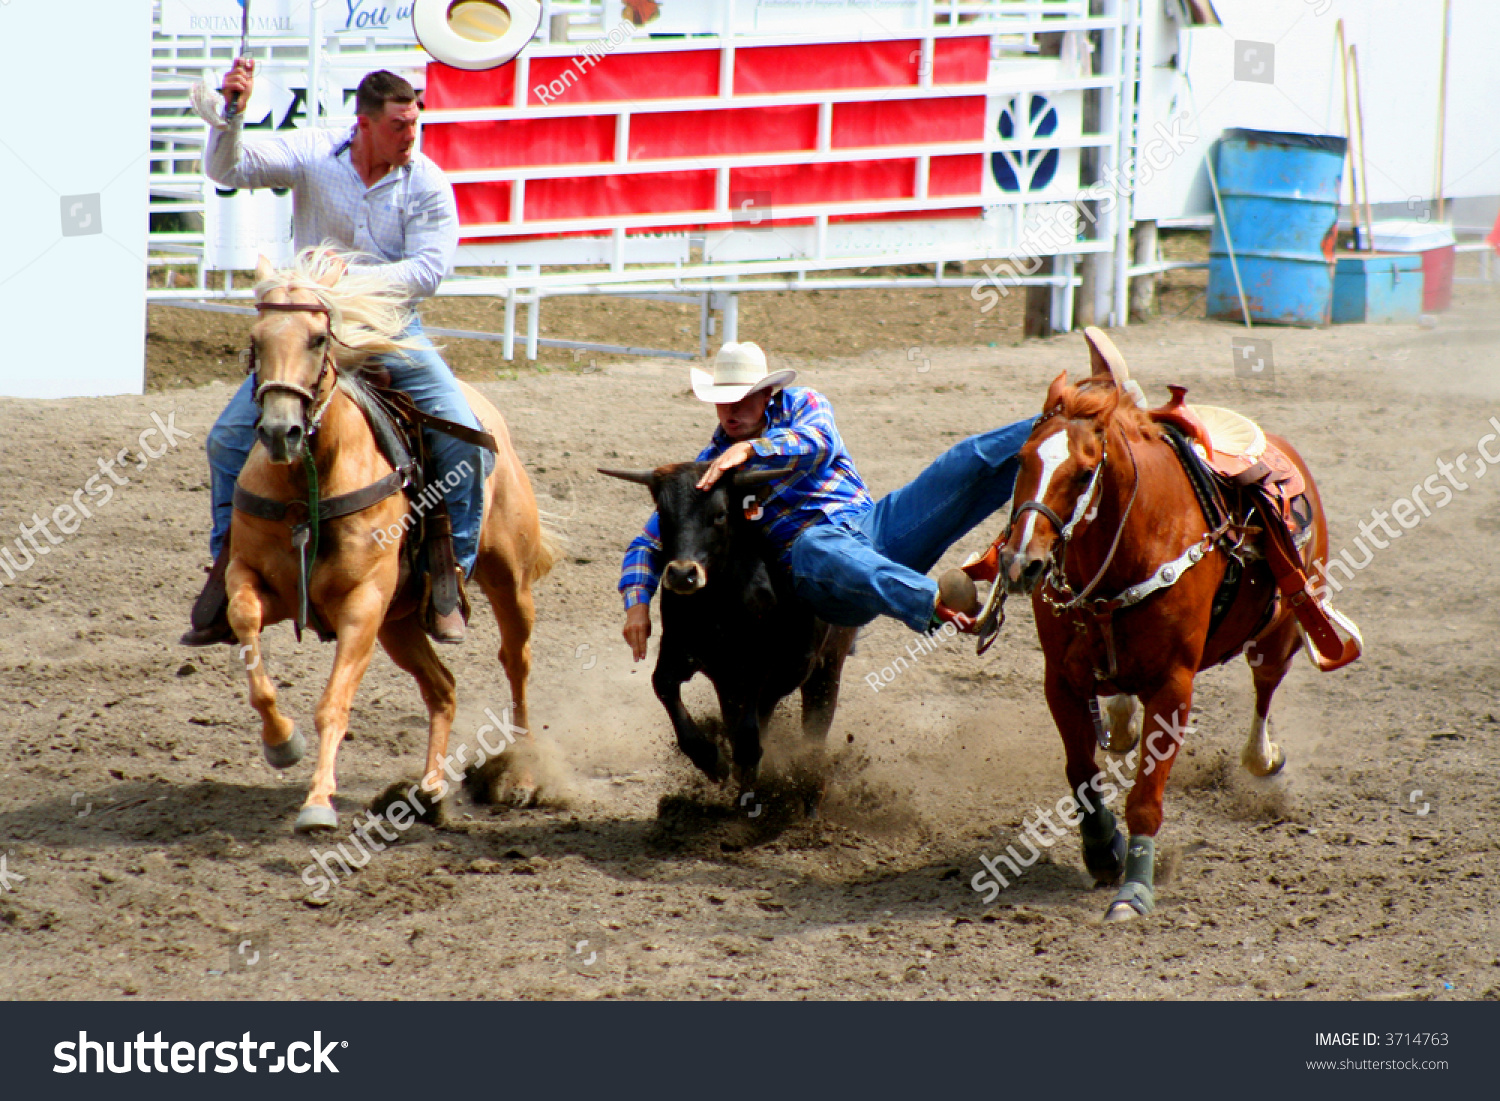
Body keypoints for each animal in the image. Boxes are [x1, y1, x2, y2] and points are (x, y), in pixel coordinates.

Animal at [219, 247, 555, 834]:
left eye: (318, 339)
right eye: (256, 339)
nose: (281, 431)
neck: (311, 482)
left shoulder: (363, 604)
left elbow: (333, 703)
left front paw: (318, 803)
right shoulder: (253, 578)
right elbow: (249, 641)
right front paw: (282, 744)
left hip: (508, 582)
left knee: (516, 660)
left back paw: (519, 769)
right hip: (401, 624)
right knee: (442, 689)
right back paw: (429, 792)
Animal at [990, 331, 1356, 930]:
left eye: (1085, 471)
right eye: (1020, 460)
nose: (1022, 563)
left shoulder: (1173, 686)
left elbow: (1145, 798)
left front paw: (1133, 889)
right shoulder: (1059, 680)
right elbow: (1080, 771)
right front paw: (1102, 849)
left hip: (1279, 632)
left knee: (1264, 692)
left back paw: (1263, 756)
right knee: (1117, 716)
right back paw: (1120, 724)